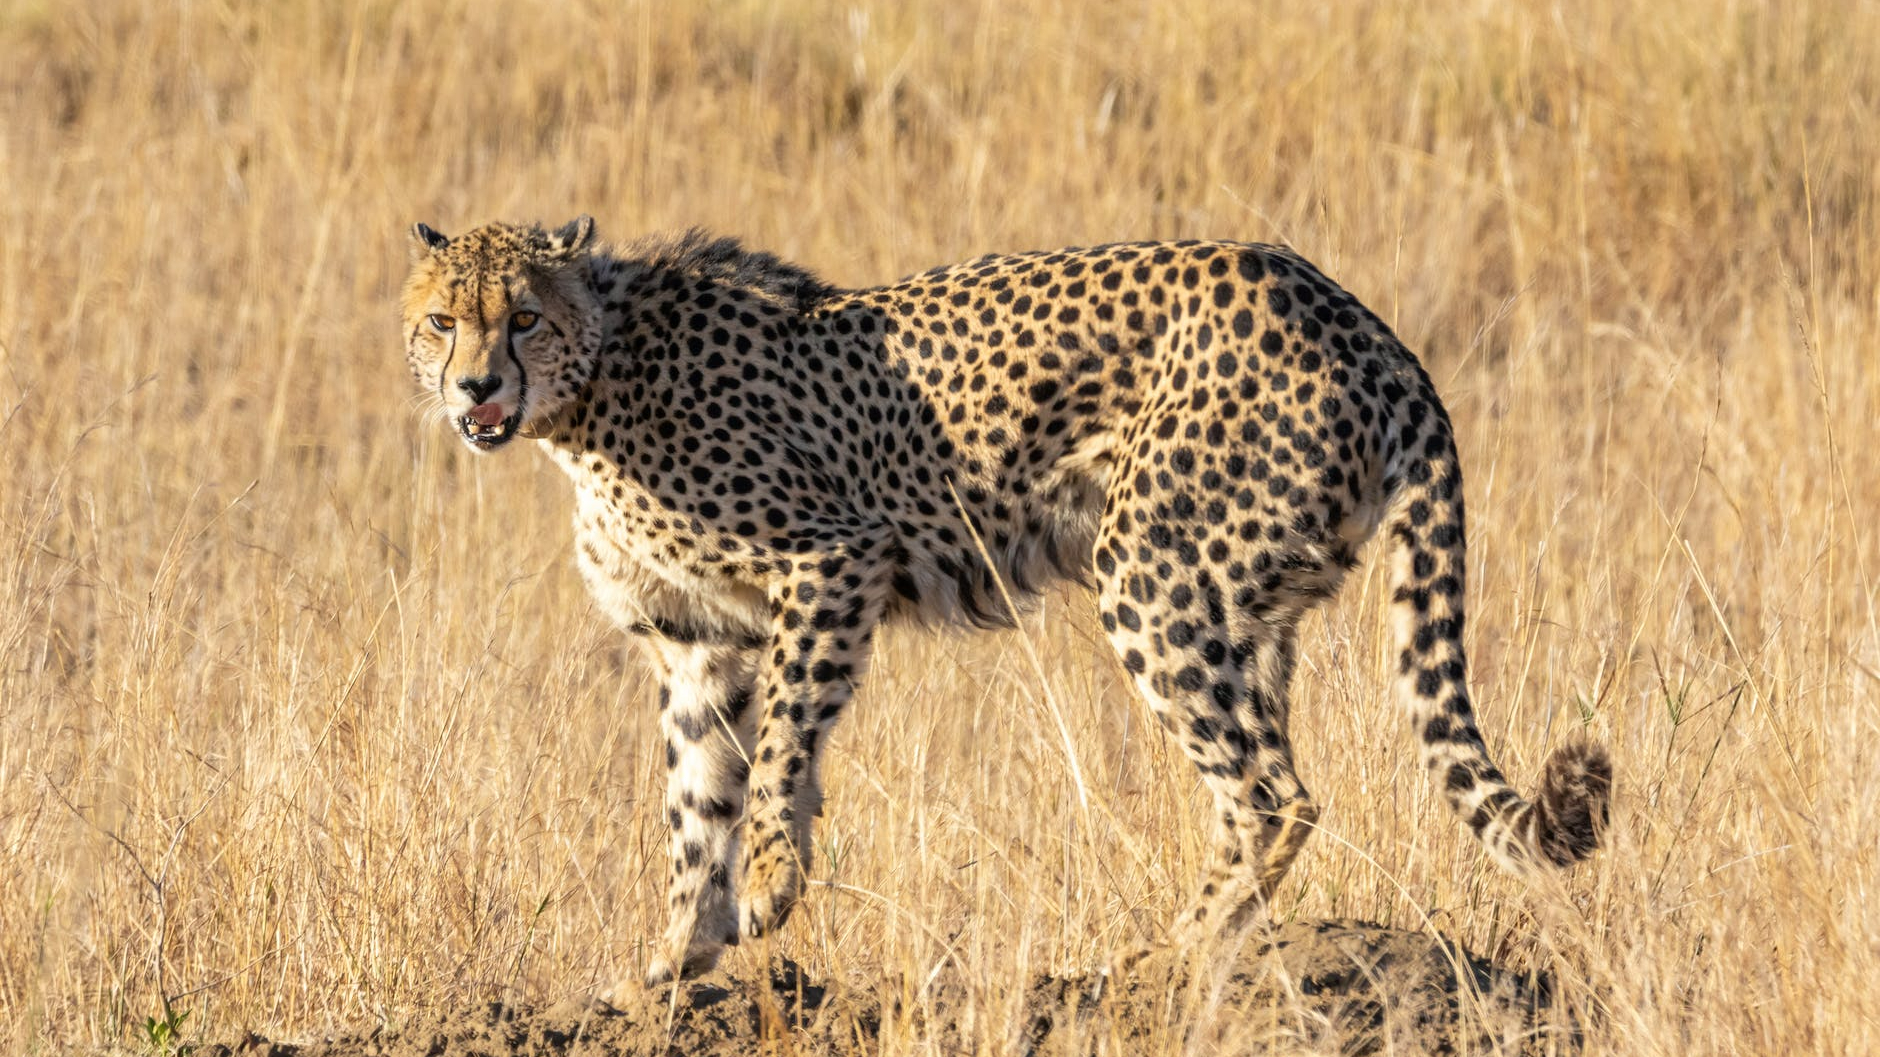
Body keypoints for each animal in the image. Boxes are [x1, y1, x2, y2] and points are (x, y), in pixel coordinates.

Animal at [399, 217, 1612, 987]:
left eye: (522, 318)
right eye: (441, 322)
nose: (477, 387)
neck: (592, 389)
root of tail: (1354, 314)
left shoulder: (831, 559)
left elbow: (782, 746)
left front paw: (772, 883)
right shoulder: (698, 641)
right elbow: (694, 801)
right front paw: (672, 960)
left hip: (1149, 569)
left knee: (1275, 793)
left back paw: (1164, 958)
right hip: (1248, 602)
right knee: (1261, 785)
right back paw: (1205, 948)